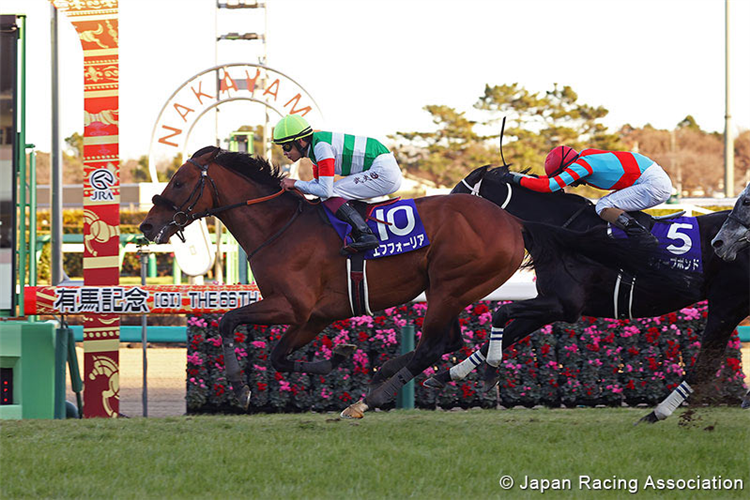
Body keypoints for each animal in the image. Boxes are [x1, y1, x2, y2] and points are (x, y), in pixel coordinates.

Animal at [141, 146, 664, 418]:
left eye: (180, 182)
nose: (147, 227)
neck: (280, 226)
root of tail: (513, 221)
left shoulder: (293, 307)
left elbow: (230, 324)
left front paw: (239, 385)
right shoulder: (315, 316)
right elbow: (278, 356)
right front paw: (338, 361)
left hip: (449, 285)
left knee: (435, 343)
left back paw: (374, 395)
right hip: (452, 289)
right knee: (449, 340)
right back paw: (387, 377)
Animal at [428, 166, 750, 420]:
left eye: (458, 197)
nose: (435, 231)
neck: (563, 233)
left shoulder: (564, 305)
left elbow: (501, 312)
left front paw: (490, 371)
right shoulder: (549, 305)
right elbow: (501, 336)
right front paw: (446, 375)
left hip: (726, 305)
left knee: (705, 365)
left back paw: (657, 413)